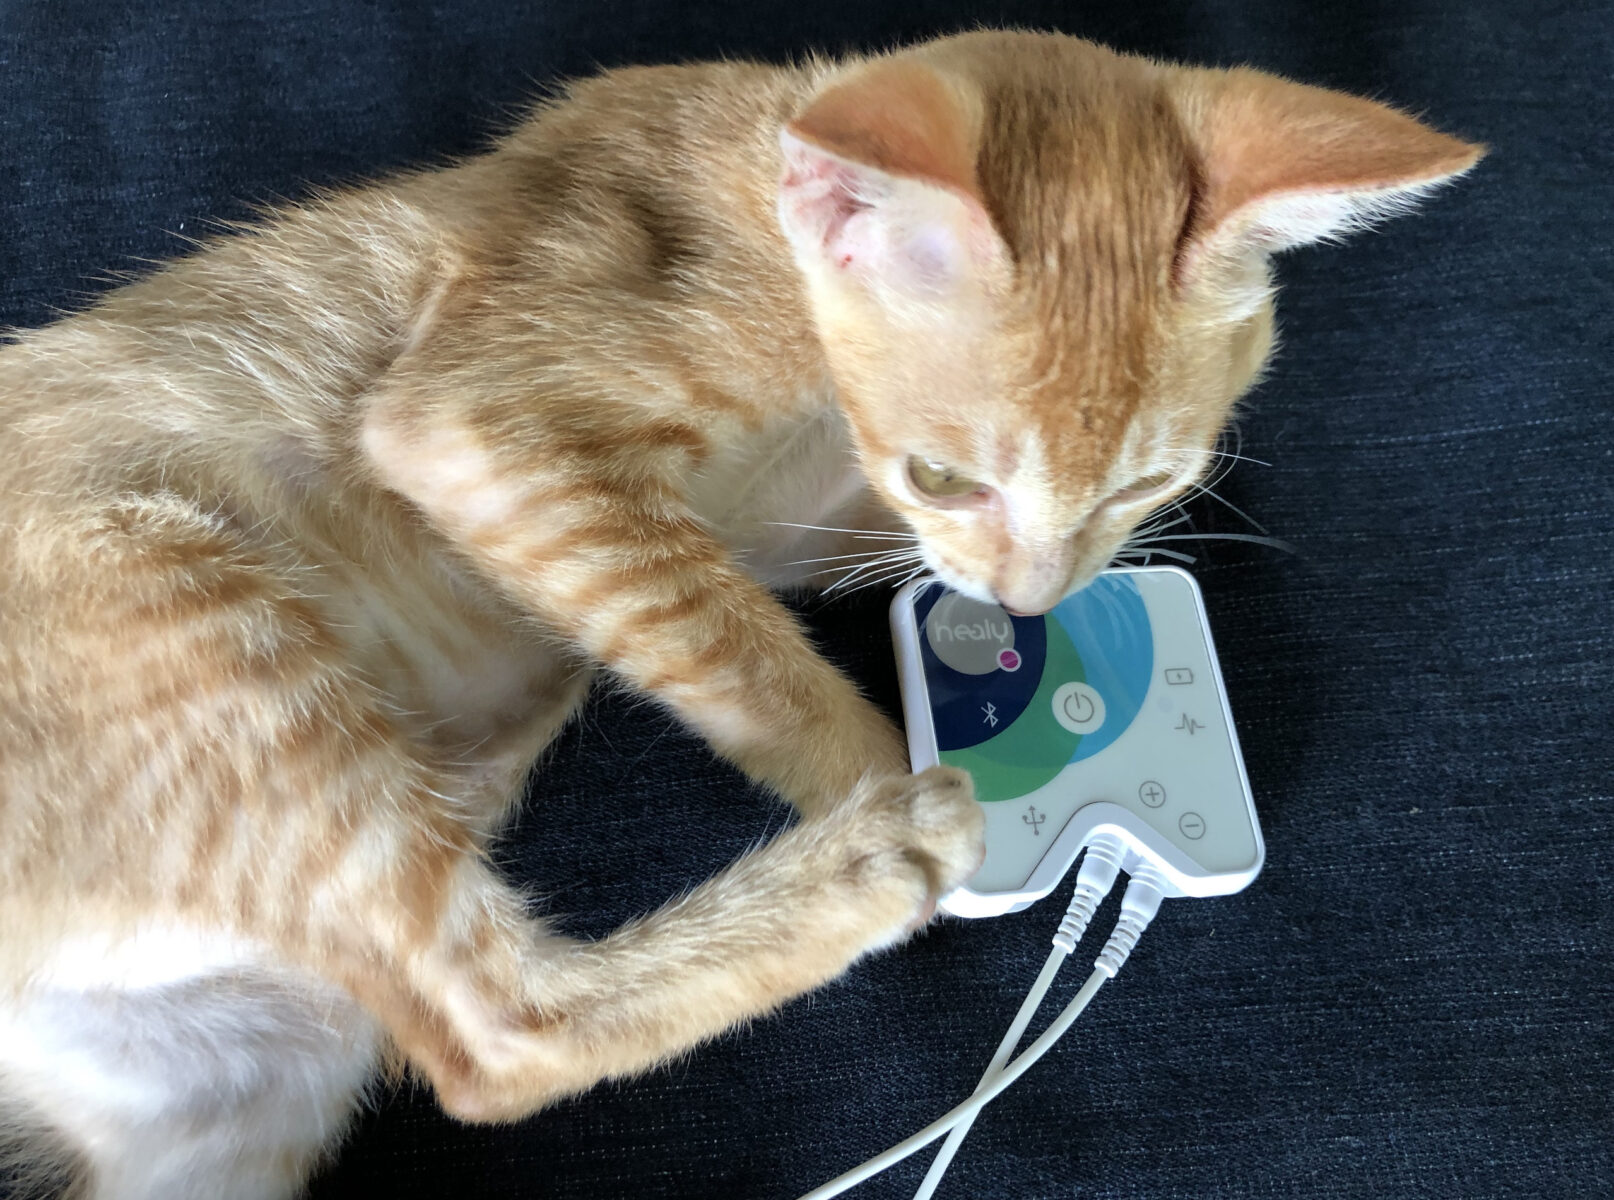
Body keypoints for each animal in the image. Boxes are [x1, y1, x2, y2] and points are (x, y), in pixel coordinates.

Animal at [0, 28, 1478, 1200]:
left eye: (1147, 476)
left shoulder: (803, 534)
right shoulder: (485, 430)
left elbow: (845, 571)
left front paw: (1108, 623)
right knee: (494, 1039)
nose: (1030, 598)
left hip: (246, 1094)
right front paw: (933, 769)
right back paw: (884, 855)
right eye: (949, 469)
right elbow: (735, 647)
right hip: (199, 630)